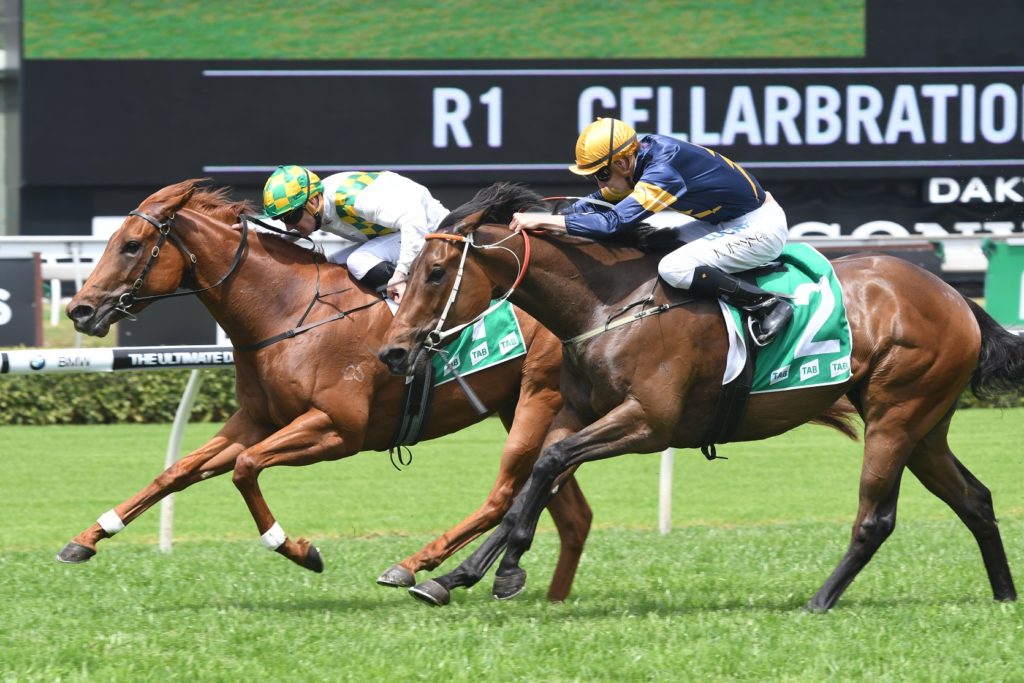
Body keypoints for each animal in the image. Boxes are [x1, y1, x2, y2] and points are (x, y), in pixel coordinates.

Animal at [60, 178, 593, 602]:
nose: (79, 310)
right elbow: (176, 472)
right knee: (570, 512)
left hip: (537, 397)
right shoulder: (256, 420)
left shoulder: (338, 429)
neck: (287, 311)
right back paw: (550, 595)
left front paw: (297, 549)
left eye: (131, 245)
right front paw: (87, 537)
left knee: (505, 494)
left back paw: (414, 568)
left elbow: (245, 468)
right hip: (521, 407)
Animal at [379, 182, 1024, 610]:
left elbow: (548, 466)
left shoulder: (649, 423)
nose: (392, 352)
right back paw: (1003, 596)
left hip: (896, 414)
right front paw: (453, 577)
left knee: (877, 517)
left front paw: (505, 572)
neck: (610, 303)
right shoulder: (577, 412)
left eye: (436, 271)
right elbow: (535, 478)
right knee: (974, 499)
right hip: (925, 425)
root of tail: (954, 296)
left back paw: (818, 602)